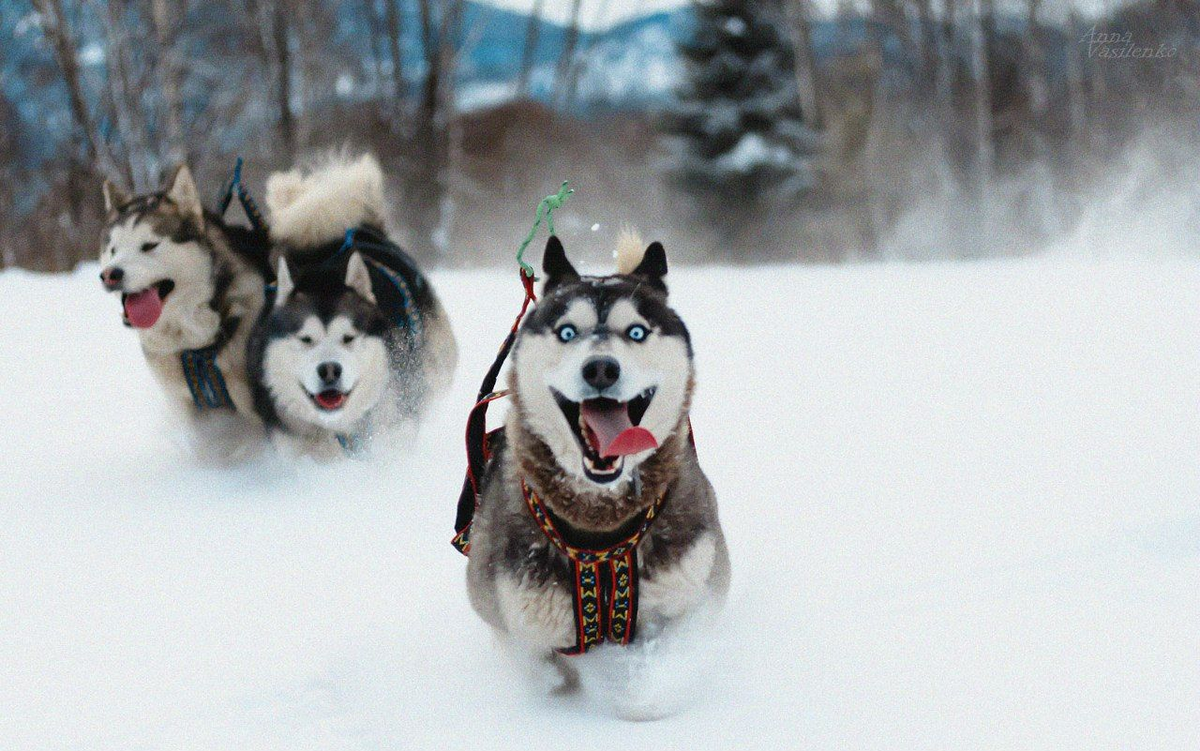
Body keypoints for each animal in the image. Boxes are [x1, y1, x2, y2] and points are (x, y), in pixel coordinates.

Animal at [465, 236, 729, 715]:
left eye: (637, 332)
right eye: (567, 332)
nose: (601, 368)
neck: (601, 528)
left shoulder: (699, 592)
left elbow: (659, 670)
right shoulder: (504, 611)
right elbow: (537, 666)